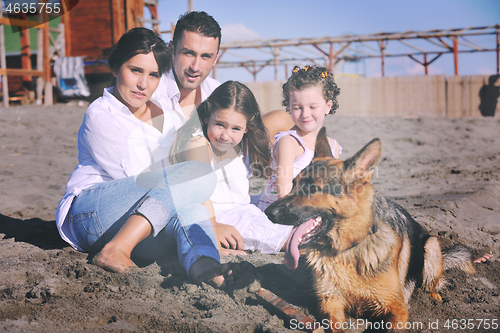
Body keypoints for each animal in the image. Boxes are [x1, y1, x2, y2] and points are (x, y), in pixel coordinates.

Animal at [264, 127, 474, 330]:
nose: (268, 212)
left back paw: (435, 299)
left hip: (431, 246)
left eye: (313, 189)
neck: (348, 251)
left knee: (433, 283)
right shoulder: (329, 302)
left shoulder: (397, 308)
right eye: (293, 184)